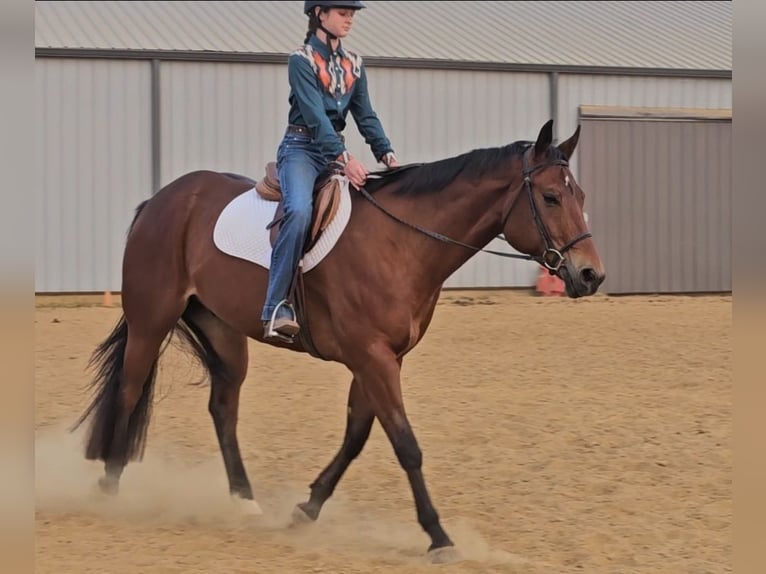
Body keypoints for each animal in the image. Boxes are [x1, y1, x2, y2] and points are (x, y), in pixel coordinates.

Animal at [72, 118, 608, 564]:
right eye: (550, 197)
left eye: (581, 195)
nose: (591, 275)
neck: (401, 244)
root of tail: (163, 199)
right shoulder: (372, 358)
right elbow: (405, 444)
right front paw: (438, 536)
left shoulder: (382, 359)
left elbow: (356, 437)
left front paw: (306, 508)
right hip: (151, 321)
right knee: (129, 390)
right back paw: (111, 486)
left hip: (224, 333)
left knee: (223, 409)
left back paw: (245, 502)